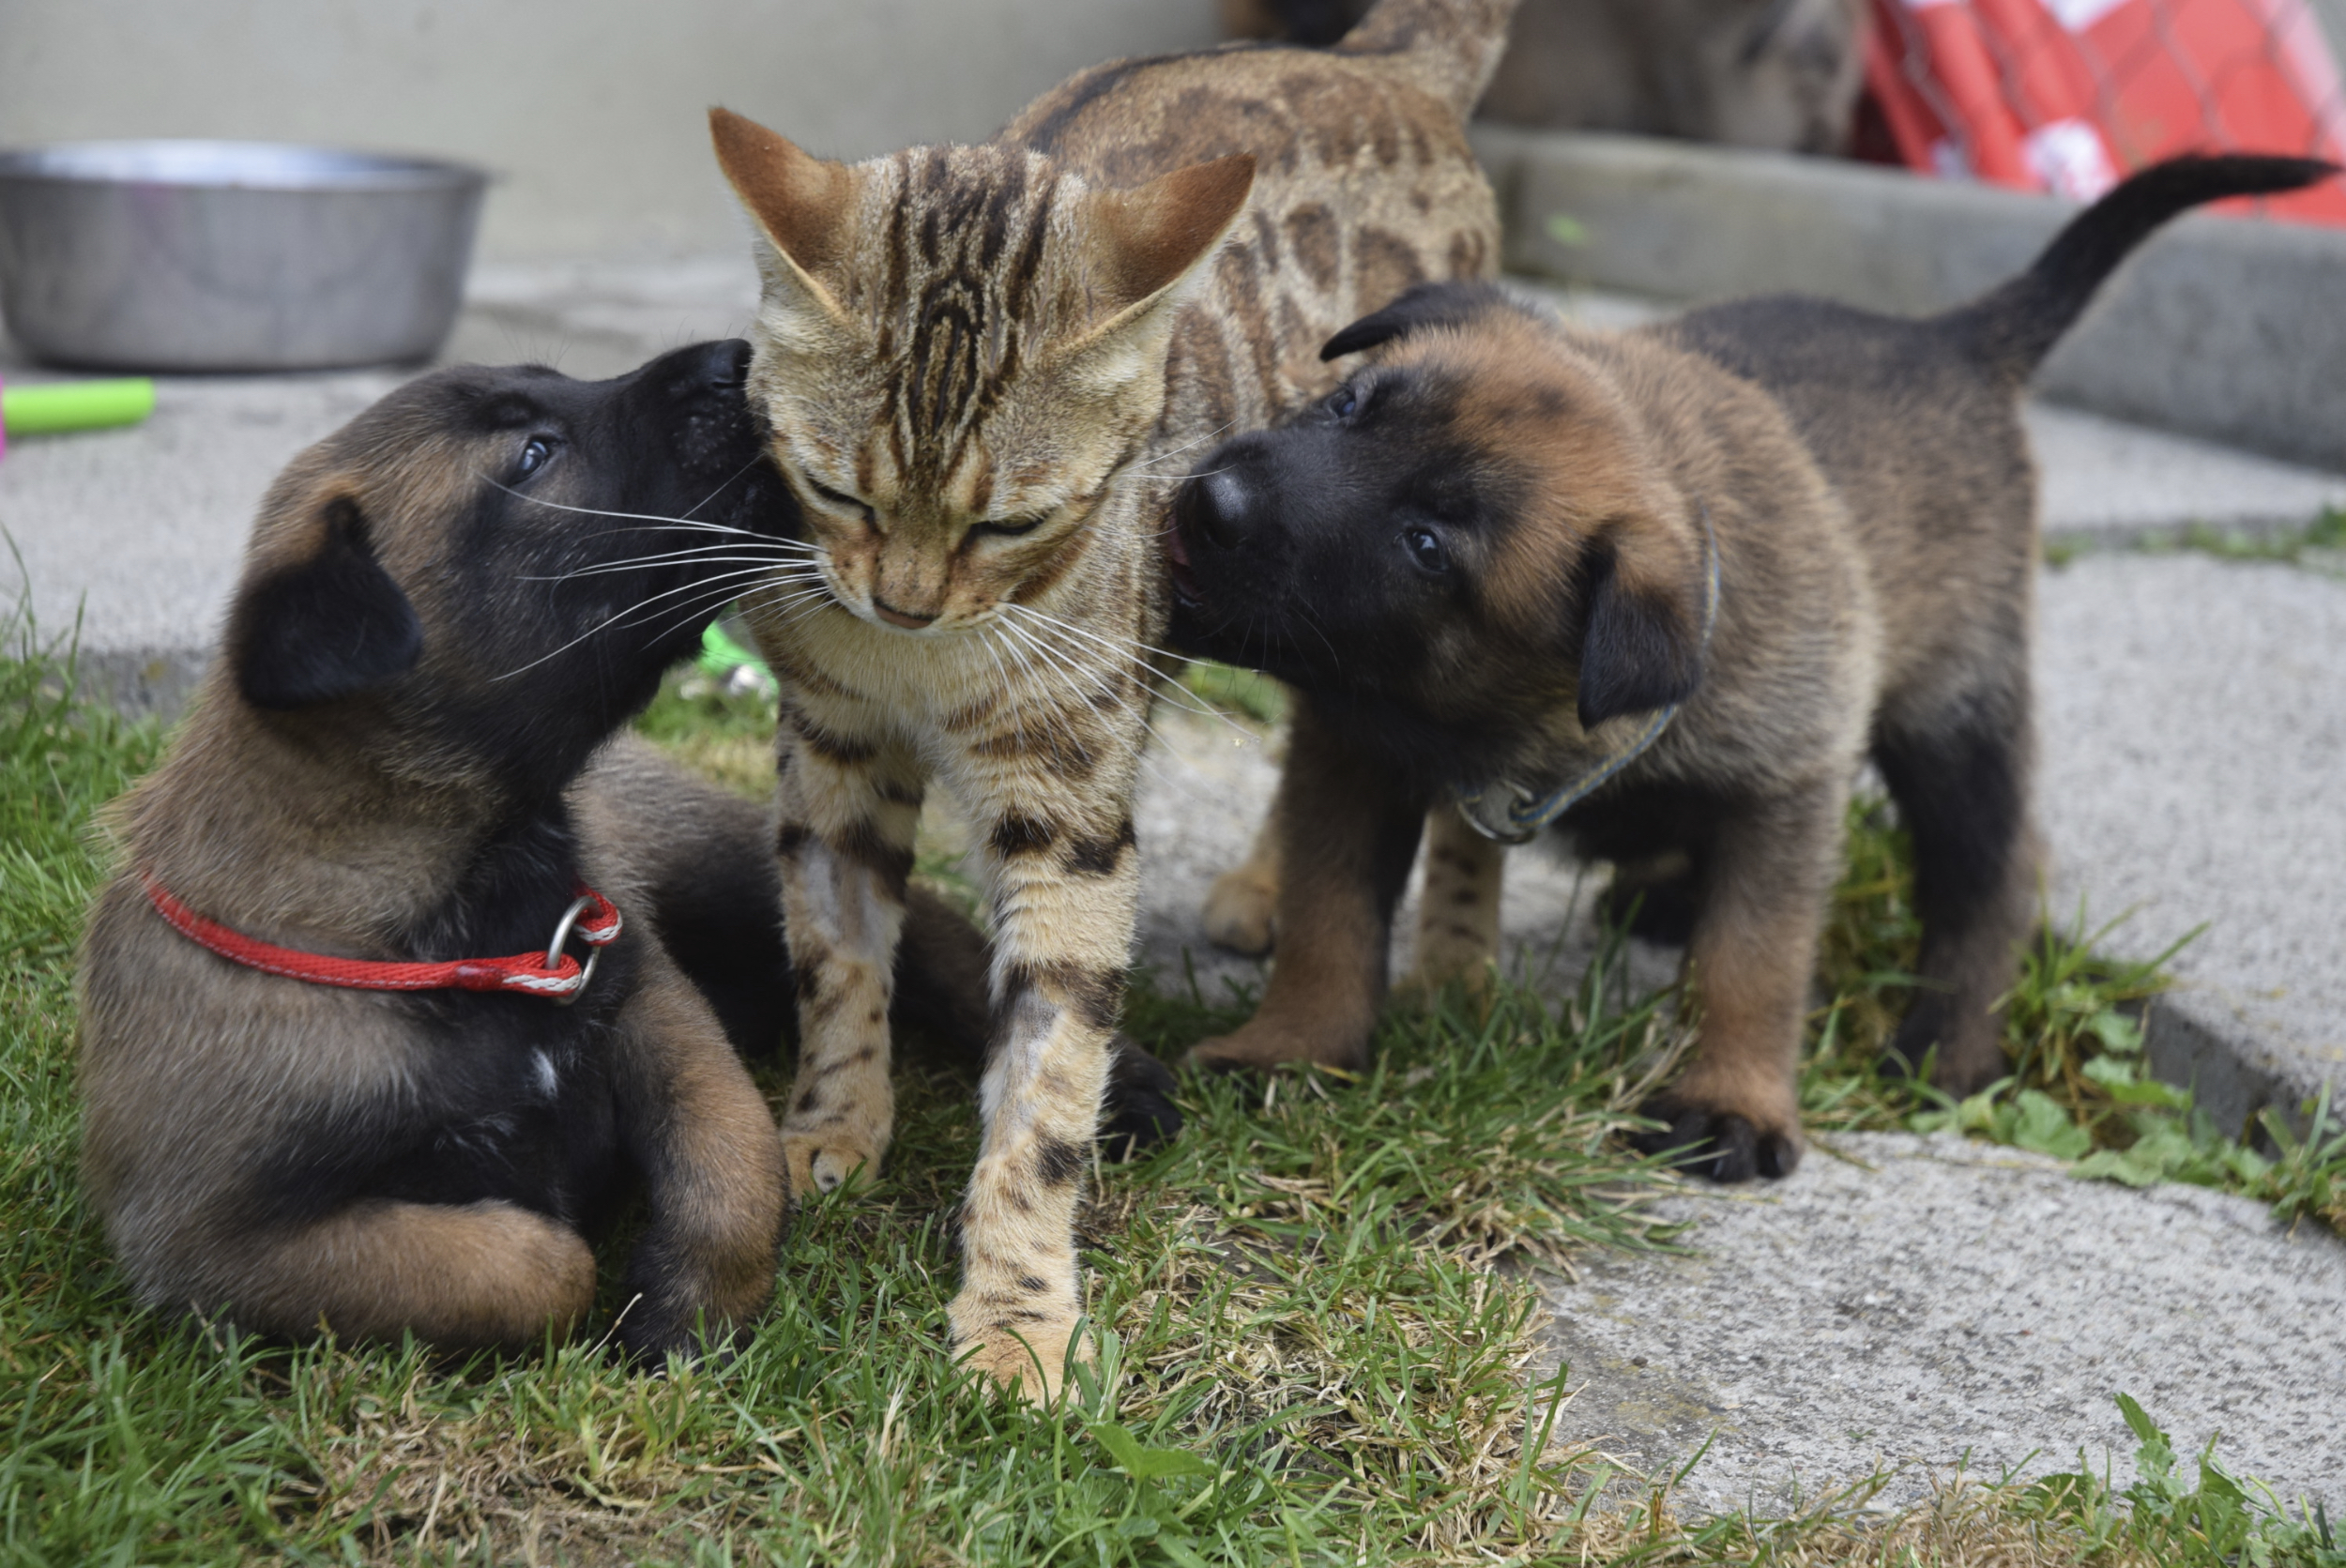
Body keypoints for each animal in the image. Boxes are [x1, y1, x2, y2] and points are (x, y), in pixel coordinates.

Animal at [713, 0, 1511, 1398]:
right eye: (839, 490)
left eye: (1012, 519)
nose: (904, 603)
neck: (922, 669)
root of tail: (1383, 64)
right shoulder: (832, 746)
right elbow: (837, 959)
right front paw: (832, 1125)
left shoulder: (1068, 804)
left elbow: (1048, 1077)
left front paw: (1019, 1312)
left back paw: (1445, 957)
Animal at [1164, 156, 2337, 1173]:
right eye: (1348, 406)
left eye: (1426, 546)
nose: (1207, 504)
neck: (1535, 721)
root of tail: (1948, 338)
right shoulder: (1351, 752)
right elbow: (1330, 913)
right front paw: (1290, 1049)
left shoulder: (1787, 788)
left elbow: (1752, 962)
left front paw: (1732, 1101)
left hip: (1953, 714)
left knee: (1993, 872)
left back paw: (1947, 1050)